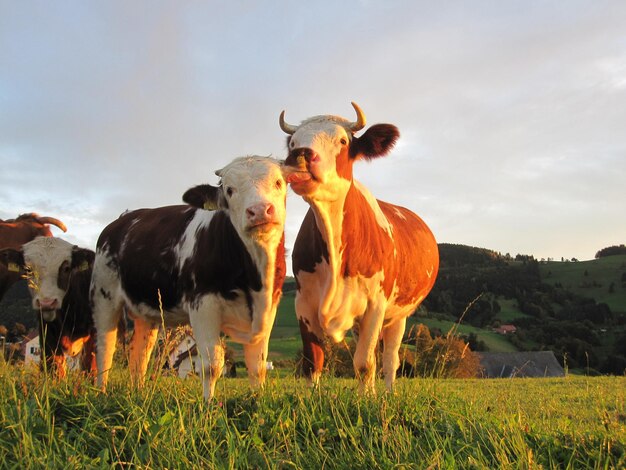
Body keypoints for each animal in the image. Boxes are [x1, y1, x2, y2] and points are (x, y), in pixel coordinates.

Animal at [0, 237, 95, 376]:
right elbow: (54, 367)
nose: (47, 302)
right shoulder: (47, 330)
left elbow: (91, 365)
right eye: (28, 270)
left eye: (66, 268)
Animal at [90, 157, 286, 400]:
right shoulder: (202, 305)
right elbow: (211, 365)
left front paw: (256, 402)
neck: (256, 279)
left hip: (146, 310)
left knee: (140, 356)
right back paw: (100, 392)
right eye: (229, 190)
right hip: (103, 295)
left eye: (279, 182)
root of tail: (123, 219)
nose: (259, 211)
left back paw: (139, 394)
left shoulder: (268, 309)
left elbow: (257, 366)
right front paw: (208, 404)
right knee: (104, 347)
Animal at [280, 103, 436, 392]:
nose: (300, 154)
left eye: (342, 141)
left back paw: (387, 393)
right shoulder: (303, 302)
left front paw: (366, 398)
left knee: (390, 359)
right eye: (293, 142)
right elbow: (313, 361)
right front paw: (309, 399)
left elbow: (364, 363)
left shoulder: (375, 304)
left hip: (398, 315)